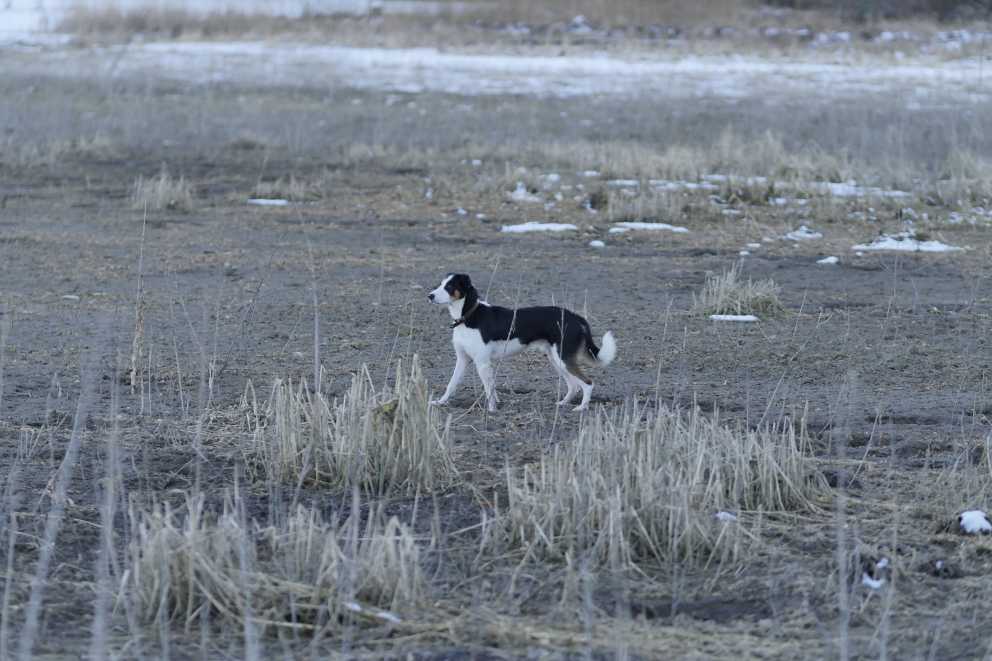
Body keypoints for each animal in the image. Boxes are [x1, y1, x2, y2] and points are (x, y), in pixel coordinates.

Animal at [428, 272, 616, 408]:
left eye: (449, 286)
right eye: (440, 284)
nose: (430, 296)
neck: (469, 315)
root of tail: (576, 317)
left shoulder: (482, 362)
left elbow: (488, 390)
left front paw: (492, 410)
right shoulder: (463, 359)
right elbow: (452, 384)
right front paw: (440, 402)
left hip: (563, 358)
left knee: (588, 383)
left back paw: (581, 408)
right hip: (557, 359)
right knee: (574, 385)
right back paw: (563, 403)